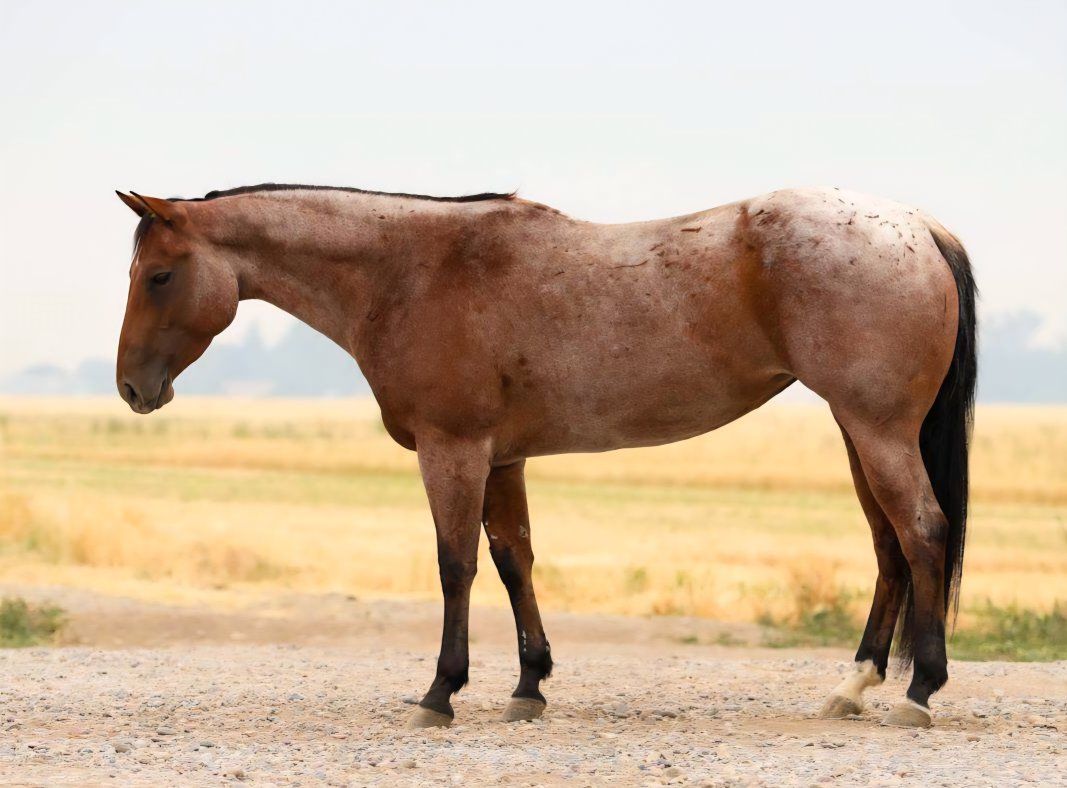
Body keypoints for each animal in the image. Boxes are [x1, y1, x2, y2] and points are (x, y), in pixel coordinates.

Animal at [114, 183, 976, 730]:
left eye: (159, 275)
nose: (131, 388)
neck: (413, 271)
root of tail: (915, 227)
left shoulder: (453, 452)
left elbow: (455, 564)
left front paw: (440, 691)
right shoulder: (502, 461)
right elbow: (512, 559)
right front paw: (529, 685)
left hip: (875, 428)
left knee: (921, 532)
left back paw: (919, 691)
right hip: (858, 432)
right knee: (888, 548)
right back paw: (853, 687)